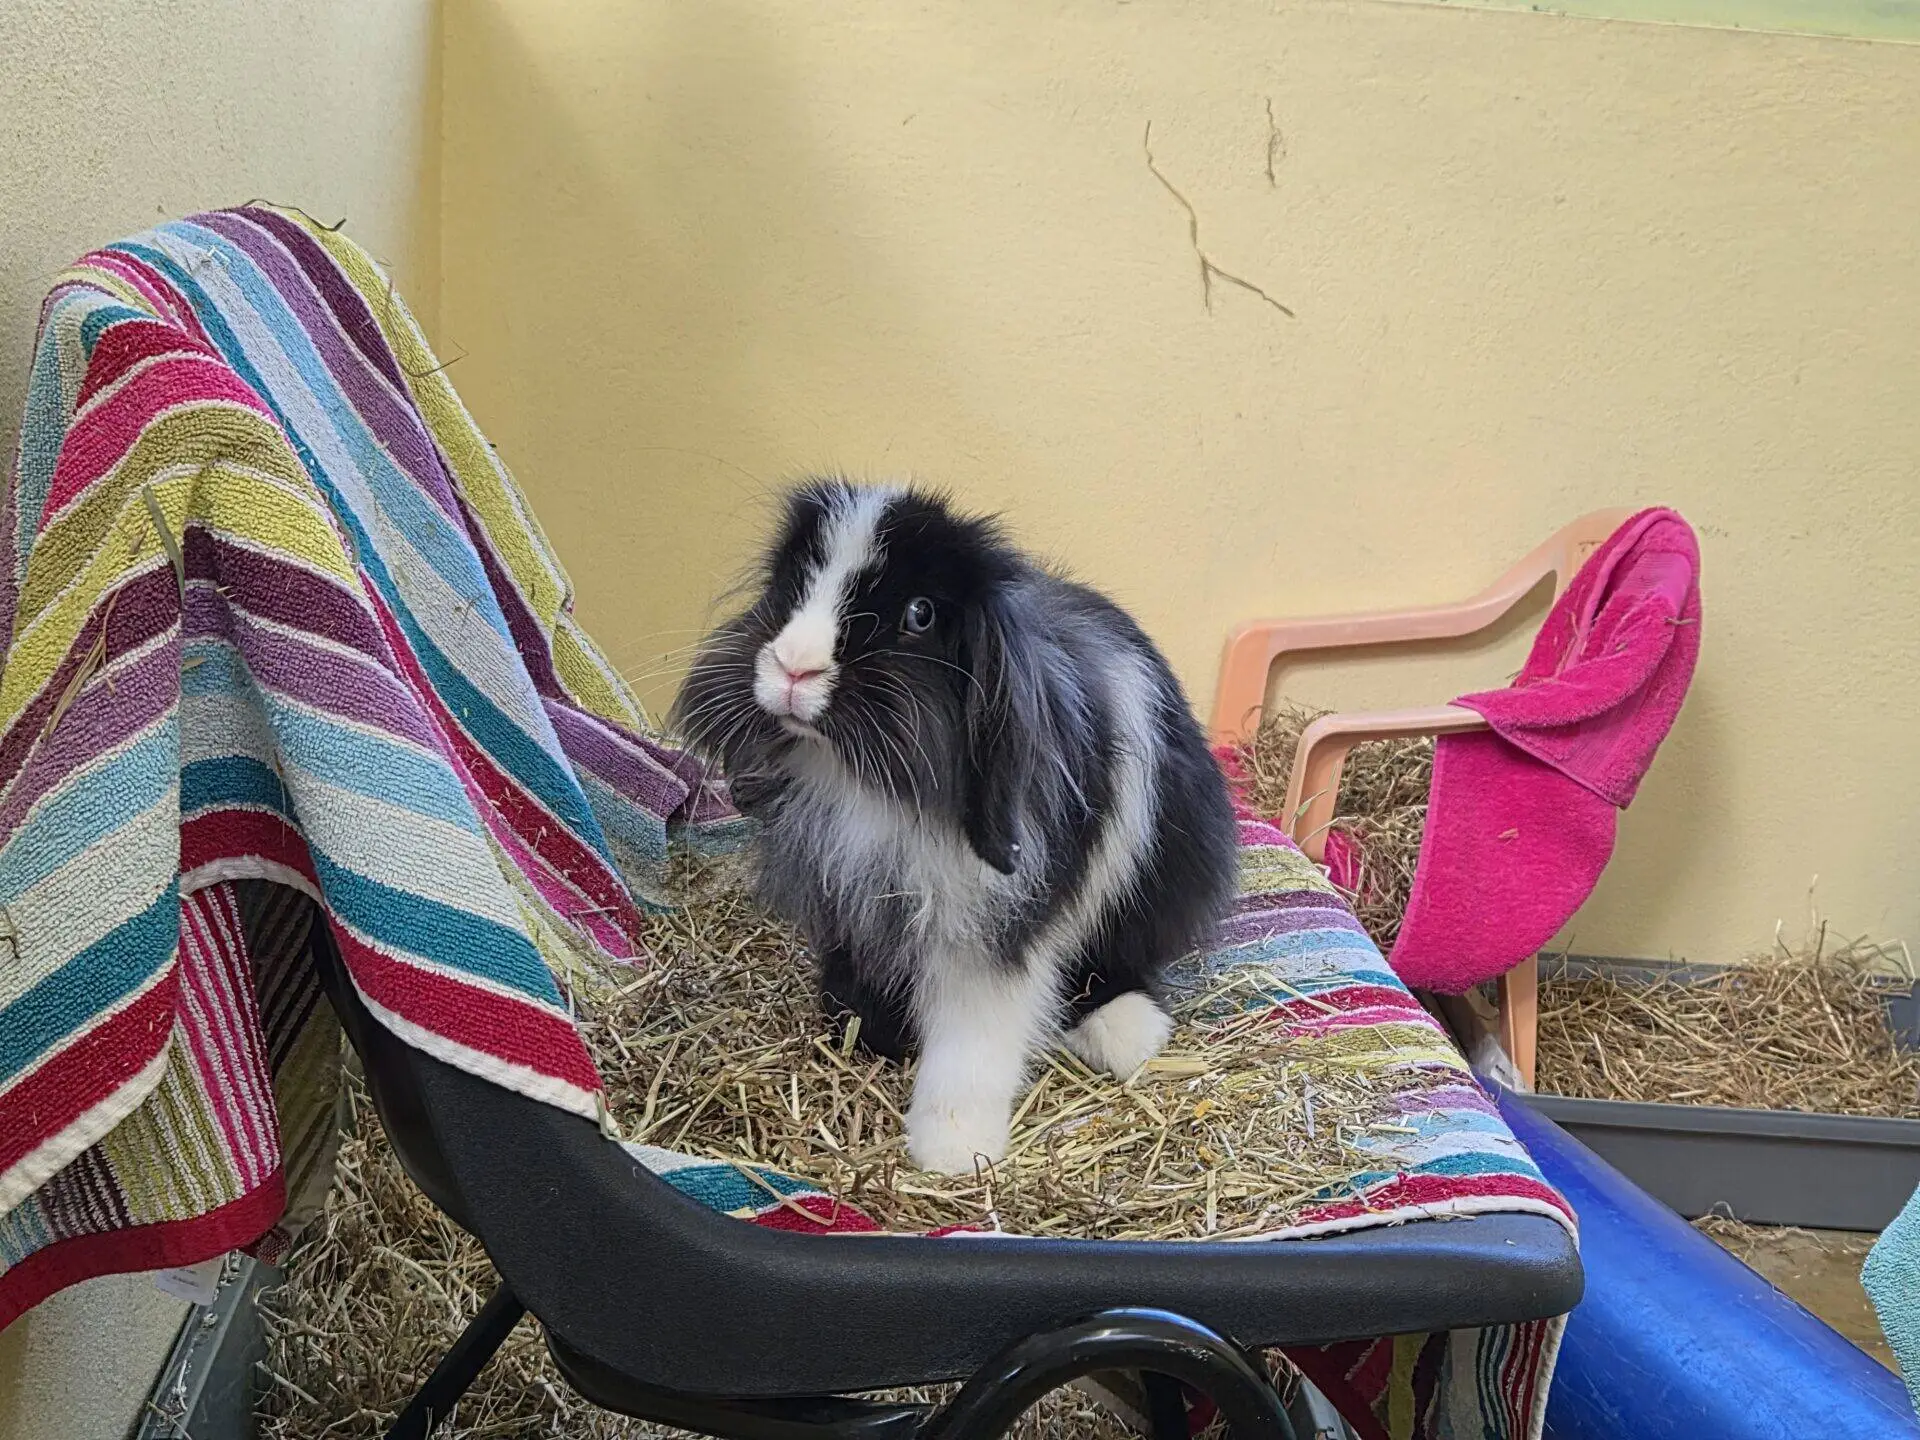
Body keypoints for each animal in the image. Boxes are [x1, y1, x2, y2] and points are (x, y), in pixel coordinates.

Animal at [671, 480, 1237, 1173]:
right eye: (795, 578)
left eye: (920, 614)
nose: (793, 667)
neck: (872, 787)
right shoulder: (850, 899)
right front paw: (867, 1033)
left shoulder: (993, 928)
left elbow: (974, 1037)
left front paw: (953, 1150)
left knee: (1119, 959)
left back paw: (1126, 1032)